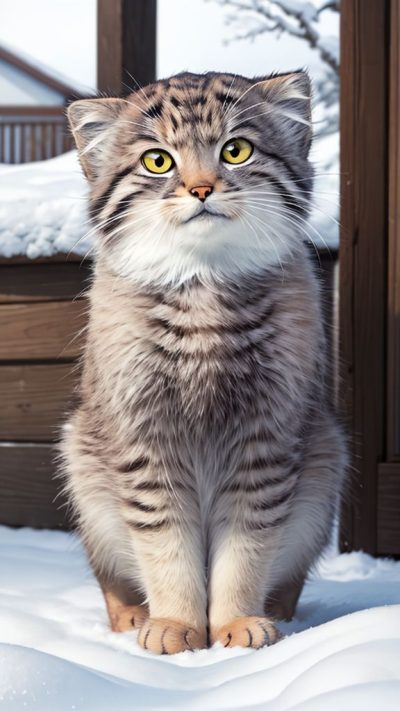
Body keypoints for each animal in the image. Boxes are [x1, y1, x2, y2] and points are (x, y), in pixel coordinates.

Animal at [61, 69, 346, 652]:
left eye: (235, 151)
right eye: (158, 161)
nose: (200, 189)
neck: (204, 292)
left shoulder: (265, 441)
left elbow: (246, 551)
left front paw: (236, 624)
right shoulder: (144, 441)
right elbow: (166, 548)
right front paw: (175, 625)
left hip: (326, 462)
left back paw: (279, 616)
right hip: (82, 465)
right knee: (113, 582)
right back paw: (133, 617)